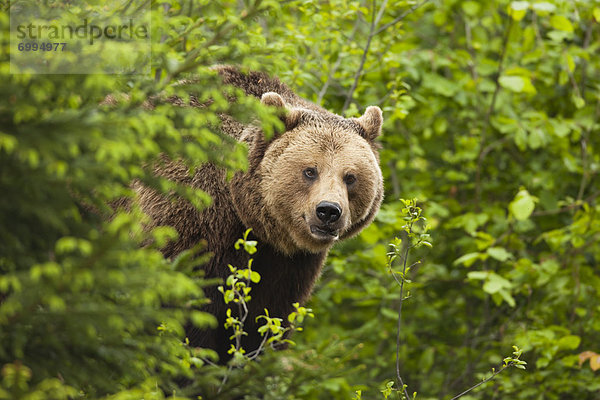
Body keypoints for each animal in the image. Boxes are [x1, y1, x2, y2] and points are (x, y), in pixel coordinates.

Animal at [135, 66, 382, 362]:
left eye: (351, 177)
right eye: (310, 170)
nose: (328, 211)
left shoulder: (289, 265)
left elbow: (267, 321)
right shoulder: (189, 222)